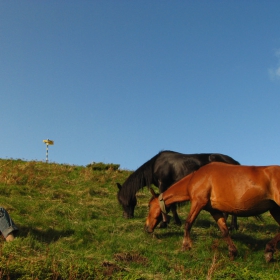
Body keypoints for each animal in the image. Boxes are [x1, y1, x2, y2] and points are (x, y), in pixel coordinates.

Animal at [145, 162, 280, 262]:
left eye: (149, 205)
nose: (146, 228)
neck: (195, 179)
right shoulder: (214, 210)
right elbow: (224, 231)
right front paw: (232, 252)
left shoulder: (198, 203)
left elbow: (188, 224)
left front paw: (185, 246)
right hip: (274, 209)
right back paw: (269, 251)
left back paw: (269, 250)